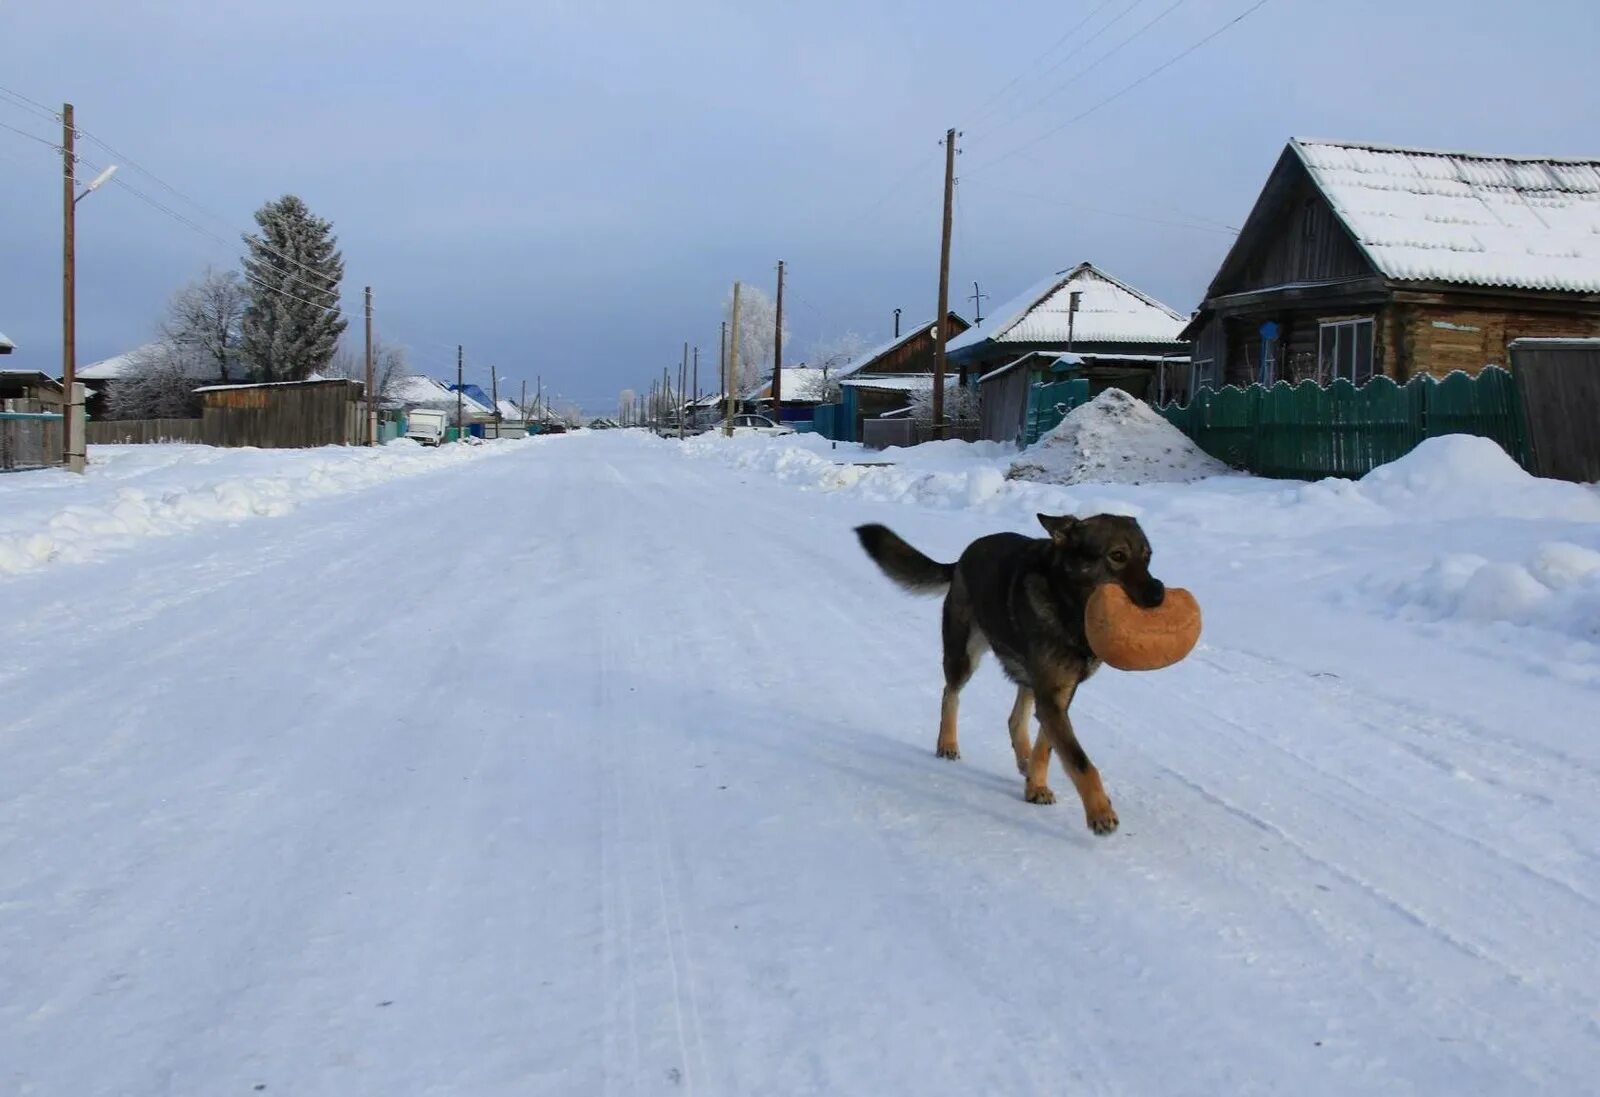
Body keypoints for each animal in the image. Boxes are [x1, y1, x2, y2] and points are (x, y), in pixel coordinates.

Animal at [857, 511, 1171, 837]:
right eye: (1117, 556)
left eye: (1147, 557)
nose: (1159, 593)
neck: (1068, 604)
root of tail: (962, 558)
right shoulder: (1051, 699)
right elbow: (1079, 761)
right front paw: (1100, 813)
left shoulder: (1058, 696)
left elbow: (1047, 747)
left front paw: (1037, 784)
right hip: (964, 654)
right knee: (950, 693)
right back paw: (948, 744)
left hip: (1026, 673)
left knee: (1015, 717)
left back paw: (1025, 761)